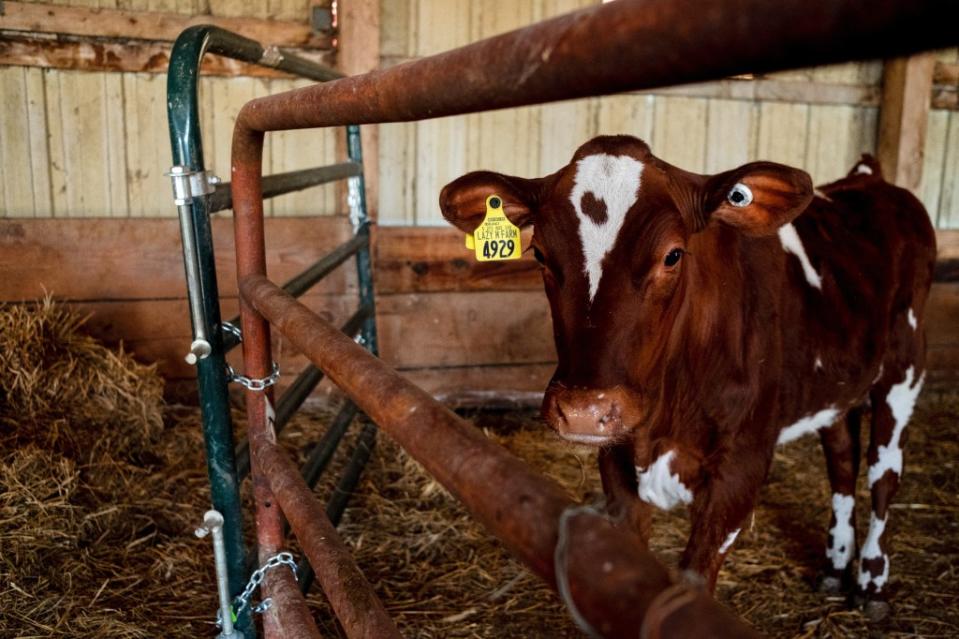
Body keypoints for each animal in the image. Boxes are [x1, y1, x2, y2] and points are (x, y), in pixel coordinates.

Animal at [442, 135, 936, 620]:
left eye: (673, 255)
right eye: (541, 253)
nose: (584, 411)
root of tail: (869, 180)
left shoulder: (742, 466)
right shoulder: (617, 464)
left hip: (905, 371)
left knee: (883, 474)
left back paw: (872, 584)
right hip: (835, 388)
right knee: (842, 460)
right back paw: (834, 567)